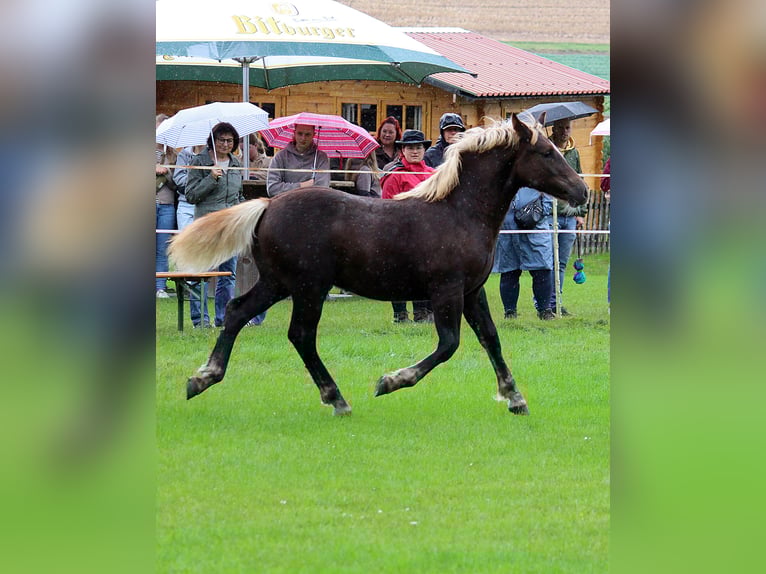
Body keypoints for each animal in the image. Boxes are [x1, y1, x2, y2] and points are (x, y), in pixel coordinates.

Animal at [169, 114, 588, 416]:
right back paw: (336, 399)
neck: (459, 212)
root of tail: (267, 205)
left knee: (238, 311)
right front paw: (390, 381)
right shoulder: (446, 289)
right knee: (300, 335)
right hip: (309, 287)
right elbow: (449, 344)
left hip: (278, 283)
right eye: (546, 153)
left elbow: (491, 338)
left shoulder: (472, 290)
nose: (582, 191)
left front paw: (515, 397)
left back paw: (202, 378)